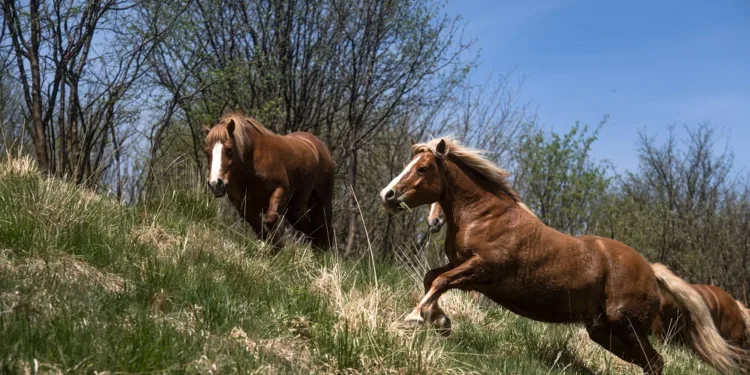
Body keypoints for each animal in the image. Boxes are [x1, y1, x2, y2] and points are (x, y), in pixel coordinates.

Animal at [206, 113, 334, 251]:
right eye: (207, 151)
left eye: (229, 149)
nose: (215, 184)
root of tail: (318, 146)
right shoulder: (244, 207)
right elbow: (259, 229)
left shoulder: (280, 190)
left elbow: (270, 218)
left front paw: (278, 247)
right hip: (293, 211)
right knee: (312, 231)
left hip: (322, 202)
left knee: (325, 230)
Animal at [378, 139, 748, 375]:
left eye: (423, 168)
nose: (388, 194)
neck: (485, 216)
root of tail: (651, 270)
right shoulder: (464, 267)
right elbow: (432, 278)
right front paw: (440, 322)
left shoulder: (482, 270)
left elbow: (440, 280)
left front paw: (414, 318)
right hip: (603, 332)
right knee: (651, 363)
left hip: (627, 325)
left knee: (655, 362)